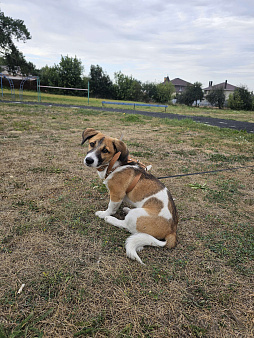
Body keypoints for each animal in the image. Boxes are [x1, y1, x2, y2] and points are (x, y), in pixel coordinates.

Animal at [82, 128, 178, 262]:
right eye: (92, 143)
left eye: (105, 150)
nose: (88, 160)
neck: (114, 165)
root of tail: (172, 231)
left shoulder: (116, 194)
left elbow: (111, 207)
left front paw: (104, 214)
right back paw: (127, 209)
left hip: (136, 216)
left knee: (127, 226)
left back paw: (111, 219)